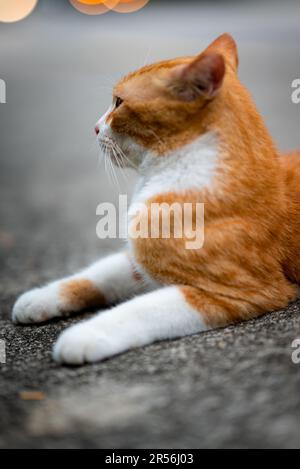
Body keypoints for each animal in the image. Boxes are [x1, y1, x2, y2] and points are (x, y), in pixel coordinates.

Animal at [12, 34, 300, 364]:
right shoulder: (139, 262)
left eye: (118, 103)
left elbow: (141, 309)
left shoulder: (241, 291)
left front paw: (84, 335)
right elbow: (99, 273)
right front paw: (39, 298)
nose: (95, 127)